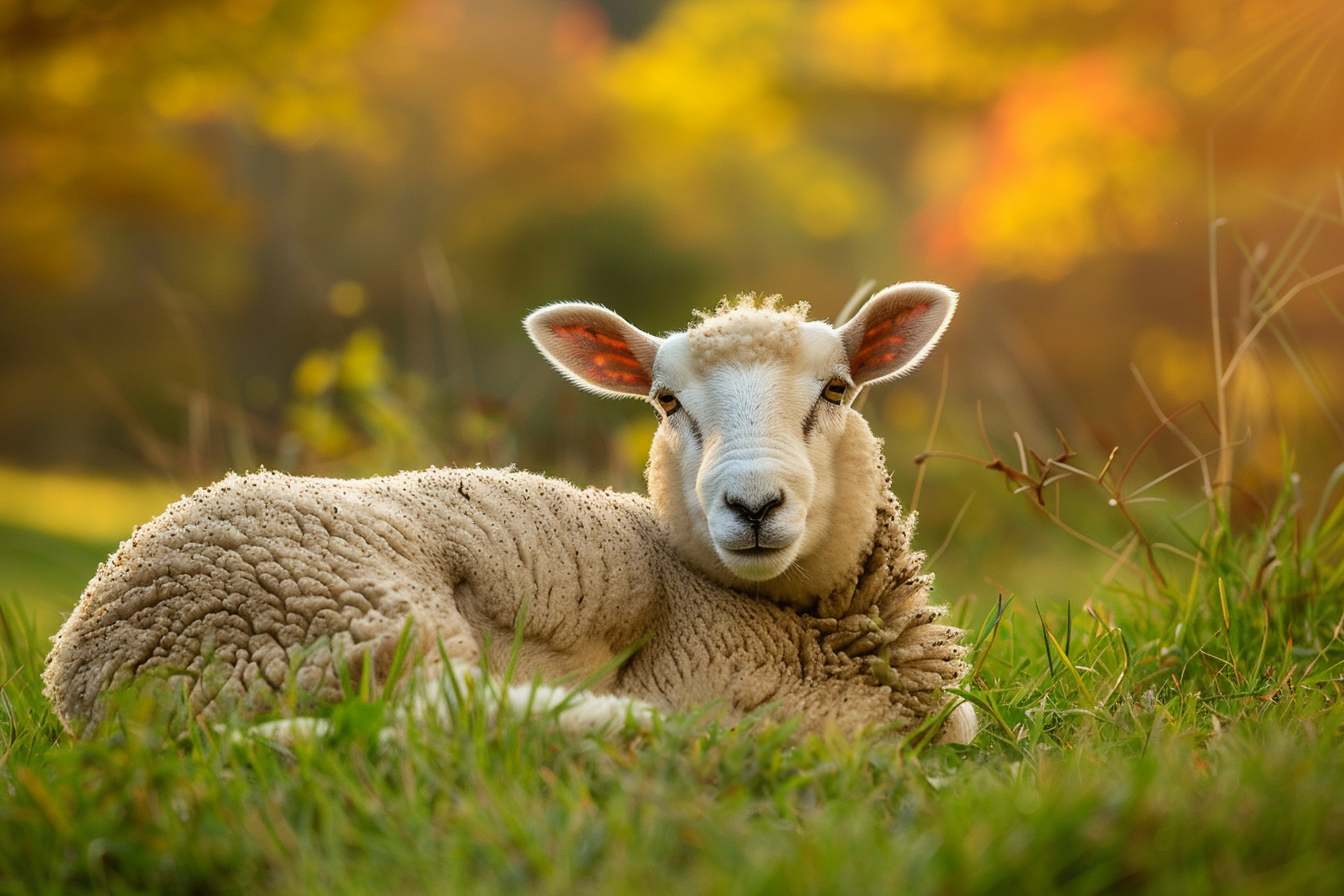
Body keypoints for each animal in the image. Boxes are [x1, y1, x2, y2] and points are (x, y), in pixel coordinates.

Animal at [43, 282, 977, 744]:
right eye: (666, 401)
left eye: (837, 390)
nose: (752, 505)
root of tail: (88, 660)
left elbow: (962, 723)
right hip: (348, 610)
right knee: (433, 721)